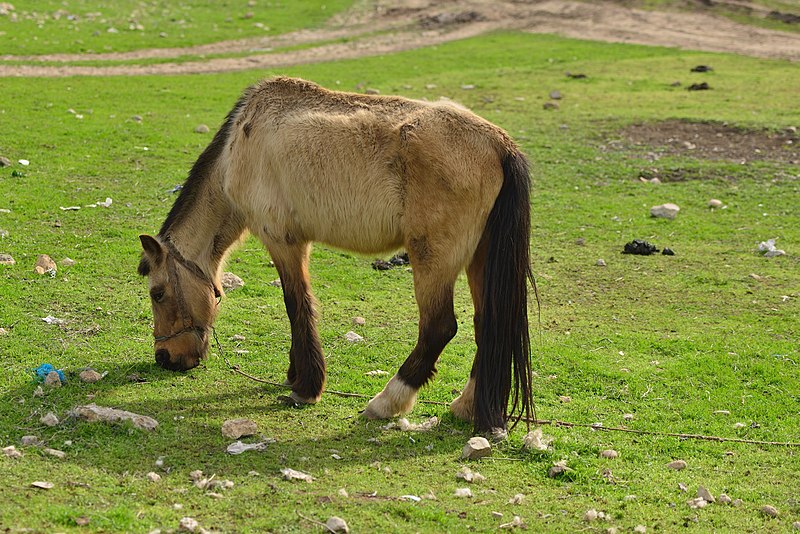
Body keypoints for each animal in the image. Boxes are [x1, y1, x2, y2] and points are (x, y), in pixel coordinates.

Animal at [138, 77, 536, 438]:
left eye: (158, 293)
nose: (165, 357)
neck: (240, 145)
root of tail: (499, 144)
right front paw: (295, 376)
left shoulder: (282, 240)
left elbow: (296, 305)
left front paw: (305, 387)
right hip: (478, 259)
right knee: (487, 325)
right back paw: (465, 406)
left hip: (432, 259)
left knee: (439, 328)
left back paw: (386, 402)